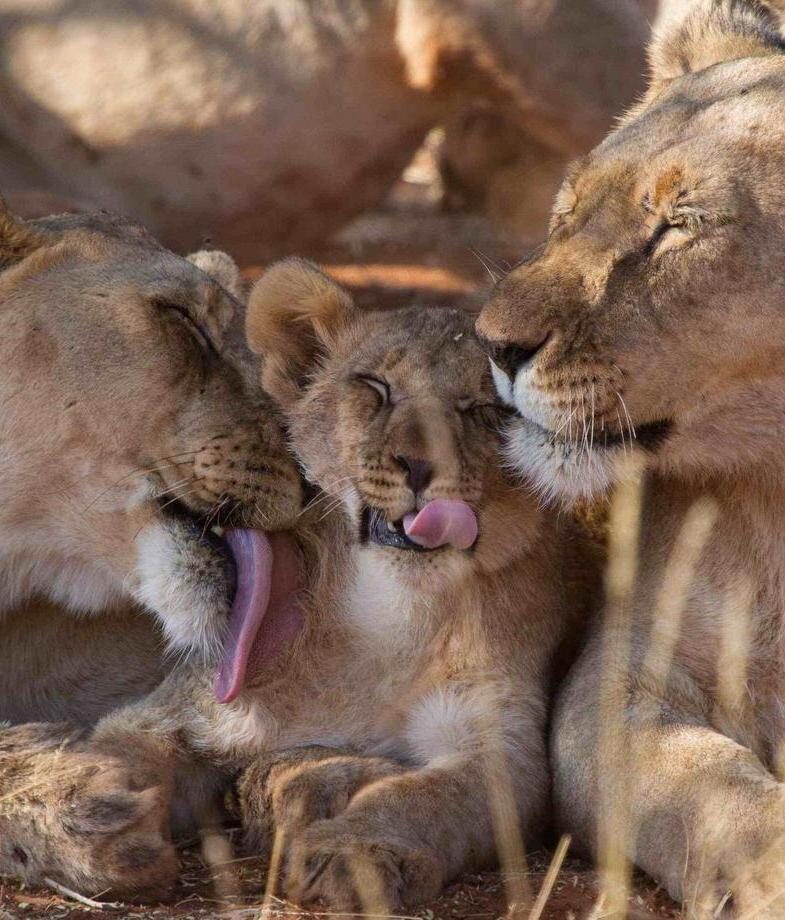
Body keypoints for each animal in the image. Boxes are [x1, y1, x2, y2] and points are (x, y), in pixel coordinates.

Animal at [0, 260, 589, 907]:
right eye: (375, 387)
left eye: (481, 408)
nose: (418, 465)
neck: (389, 616)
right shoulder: (189, 707)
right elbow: (121, 748)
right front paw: (78, 814)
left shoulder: (502, 745)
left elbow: (426, 798)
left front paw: (354, 852)